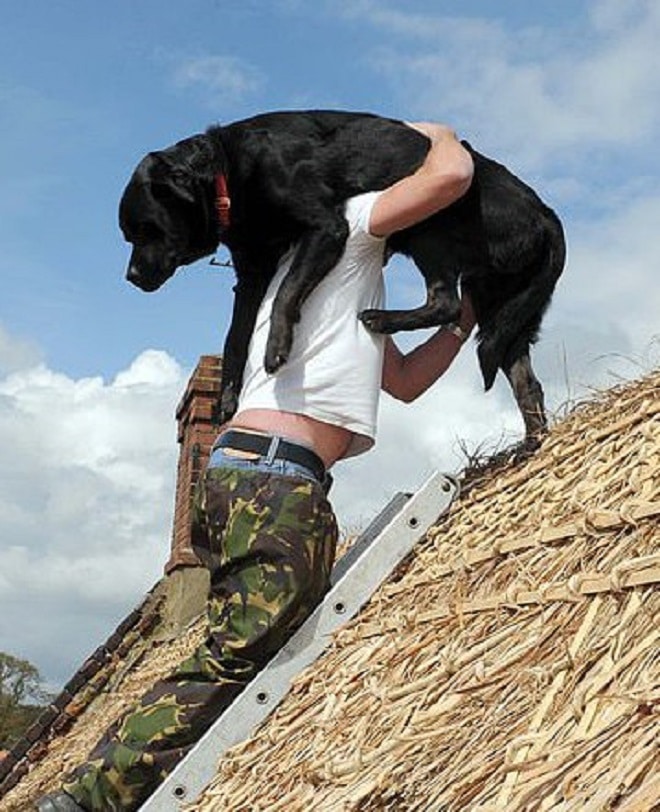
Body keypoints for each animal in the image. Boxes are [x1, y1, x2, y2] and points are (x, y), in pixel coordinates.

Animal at [120, 110, 568, 440]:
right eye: (131, 234)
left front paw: (276, 347)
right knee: (523, 378)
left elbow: (286, 292)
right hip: (503, 310)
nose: (131, 277)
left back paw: (380, 319)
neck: (228, 174)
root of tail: (546, 216)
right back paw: (530, 445)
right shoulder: (251, 273)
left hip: (431, 231)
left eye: (145, 230)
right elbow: (235, 337)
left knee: (447, 304)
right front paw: (228, 397)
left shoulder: (327, 228)